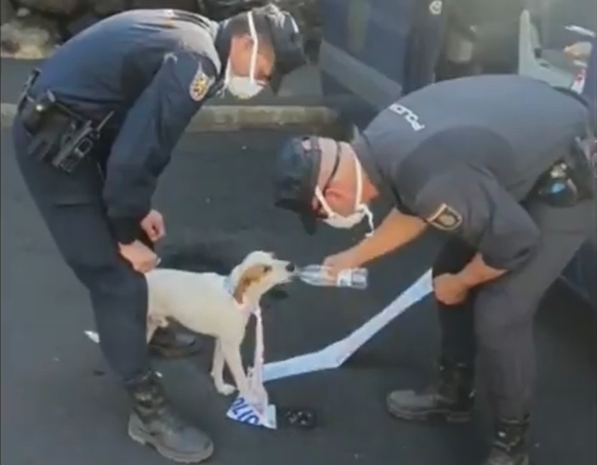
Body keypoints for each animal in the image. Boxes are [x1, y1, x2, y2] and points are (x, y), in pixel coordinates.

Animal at [144, 250, 294, 402]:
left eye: (273, 256)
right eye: (265, 269)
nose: (291, 266)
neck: (234, 294)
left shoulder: (222, 342)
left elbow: (217, 366)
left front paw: (220, 388)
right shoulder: (231, 347)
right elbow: (240, 377)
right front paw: (249, 398)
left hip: (150, 325)